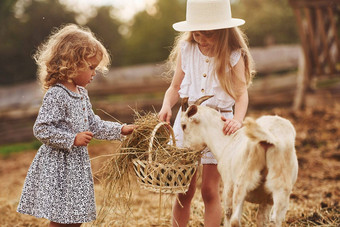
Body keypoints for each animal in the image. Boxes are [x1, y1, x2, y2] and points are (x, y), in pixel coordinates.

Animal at [181, 96, 298, 227]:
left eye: (183, 125)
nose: (185, 151)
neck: (228, 141)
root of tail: (270, 138)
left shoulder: (228, 185)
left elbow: (227, 213)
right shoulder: (266, 199)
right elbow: (261, 219)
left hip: (242, 184)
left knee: (235, 220)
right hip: (281, 187)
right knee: (275, 220)